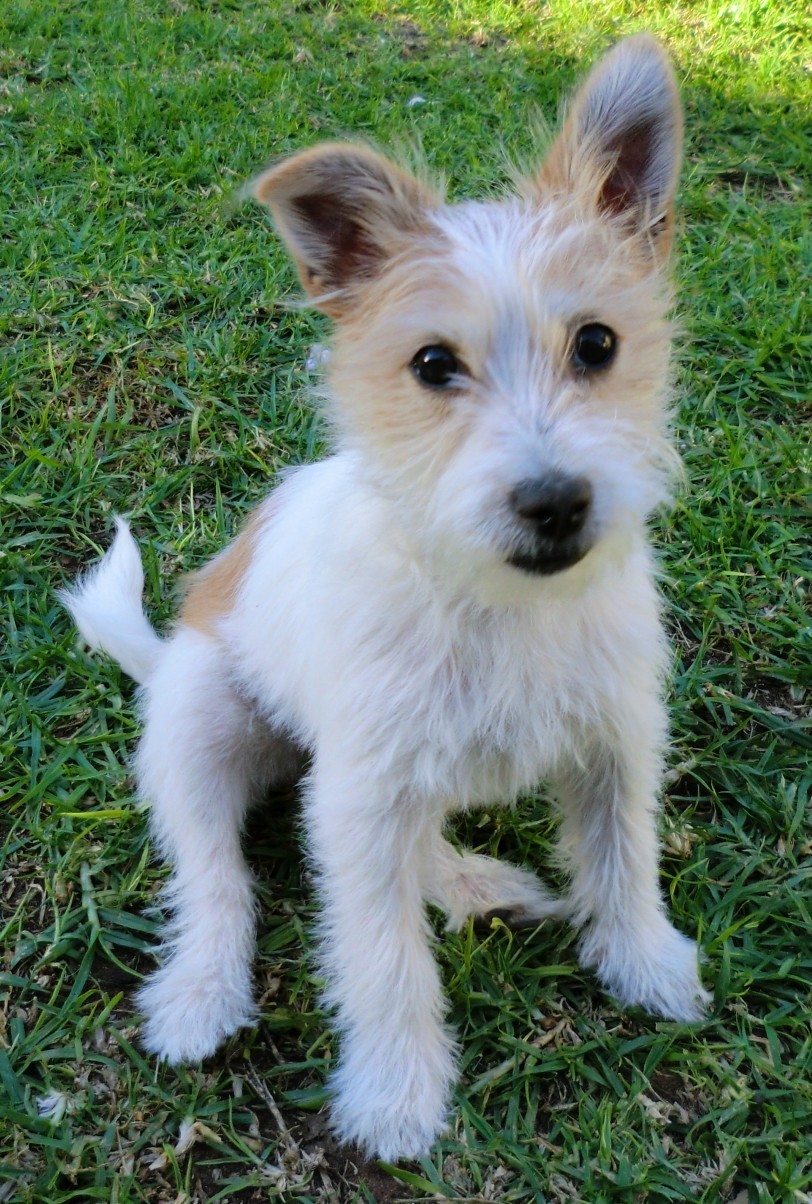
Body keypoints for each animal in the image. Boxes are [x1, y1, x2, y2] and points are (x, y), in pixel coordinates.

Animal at [64, 37, 708, 1160]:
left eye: (596, 344)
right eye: (432, 364)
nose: (554, 501)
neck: (494, 601)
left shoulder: (615, 740)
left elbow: (622, 856)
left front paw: (644, 962)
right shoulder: (365, 789)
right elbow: (380, 957)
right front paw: (396, 1095)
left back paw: (473, 881)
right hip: (200, 728)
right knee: (217, 875)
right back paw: (199, 991)